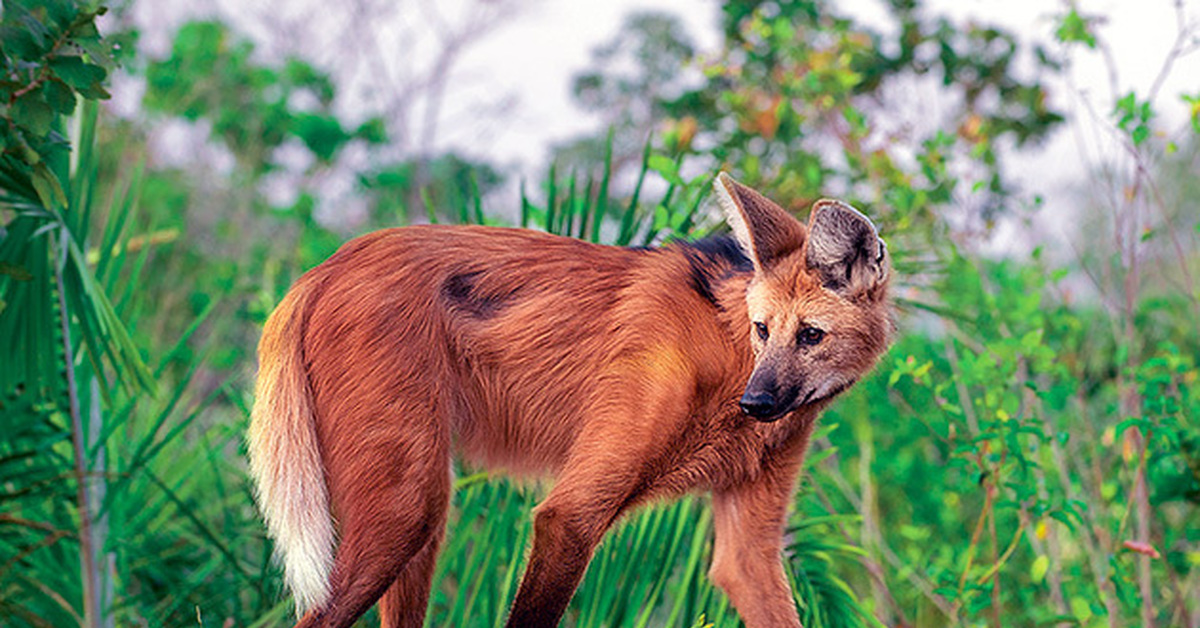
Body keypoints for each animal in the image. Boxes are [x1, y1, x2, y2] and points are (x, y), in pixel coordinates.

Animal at [246, 172, 892, 628]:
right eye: (764, 330)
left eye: (810, 335)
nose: (755, 404)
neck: (727, 356)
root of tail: (321, 269)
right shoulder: (571, 515)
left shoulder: (749, 547)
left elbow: (748, 572)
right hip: (405, 510)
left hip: (419, 512)